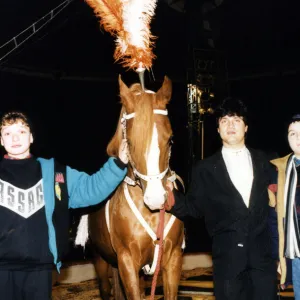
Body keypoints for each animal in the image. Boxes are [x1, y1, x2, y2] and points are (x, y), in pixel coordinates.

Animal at [76, 76, 184, 298]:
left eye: (170, 140)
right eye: (130, 143)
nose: (156, 199)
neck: (151, 215)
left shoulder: (172, 259)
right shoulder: (127, 262)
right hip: (100, 259)